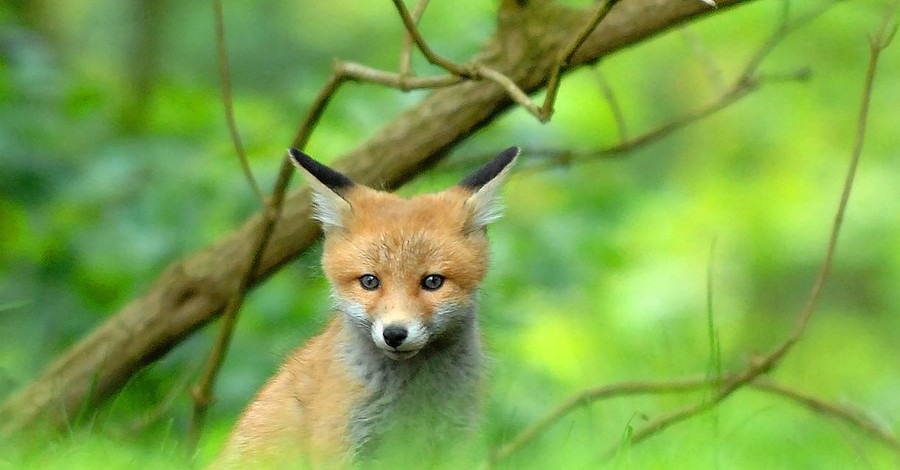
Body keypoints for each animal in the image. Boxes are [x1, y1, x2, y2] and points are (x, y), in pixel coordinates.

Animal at [213, 145, 520, 468]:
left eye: (433, 281)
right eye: (370, 281)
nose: (395, 334)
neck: (414, 397)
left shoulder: (457, 442)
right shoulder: (339, 446)